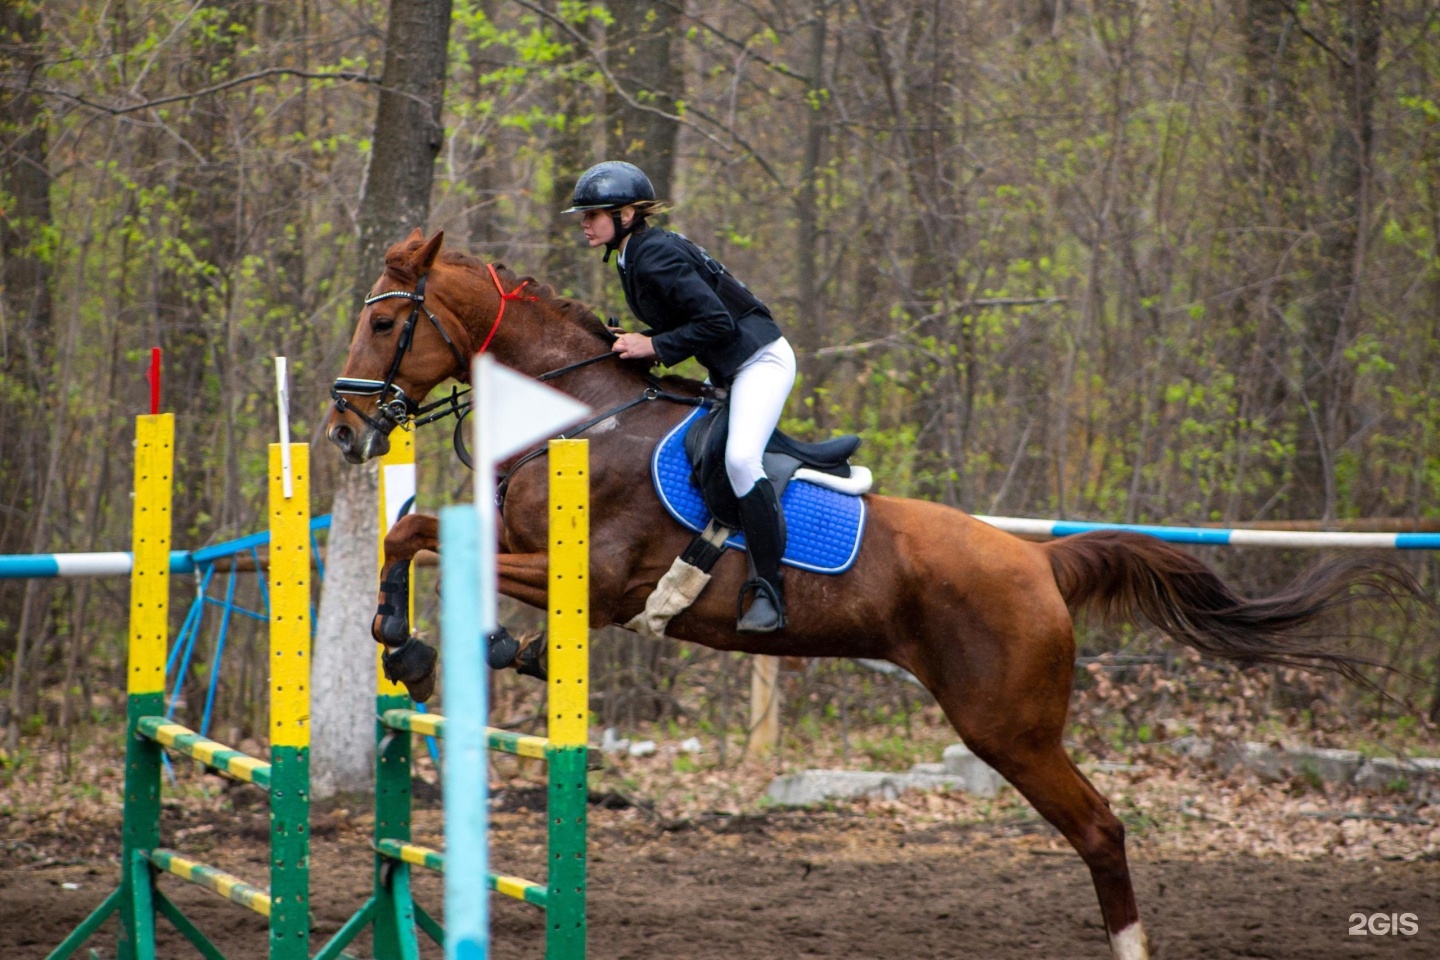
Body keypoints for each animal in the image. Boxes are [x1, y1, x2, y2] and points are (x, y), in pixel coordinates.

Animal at [326, 230, 1416, 960]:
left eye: (383, 319)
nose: (343, 431)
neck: (584, 413)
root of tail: (1040, 566)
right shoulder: (540, 563)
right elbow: (416, 540)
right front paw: (424, 648)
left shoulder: (595, 581)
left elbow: (420, 538)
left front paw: (407, 640)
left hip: (1008, 726)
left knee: (1103, 830)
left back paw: (1132, 945)